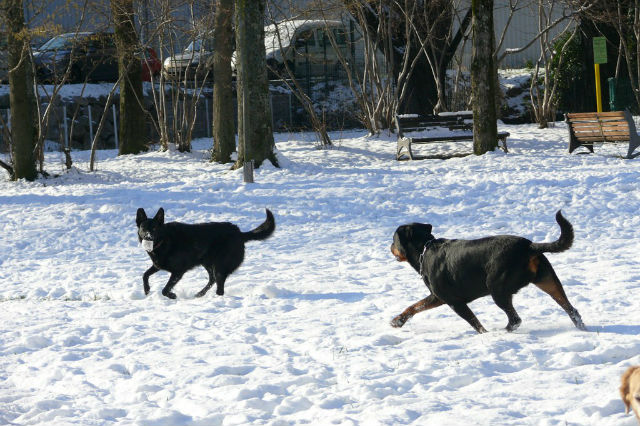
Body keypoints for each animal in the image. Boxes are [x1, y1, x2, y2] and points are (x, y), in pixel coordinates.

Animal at [135, 208, 276, 298]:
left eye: (154, 228)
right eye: (143, 228)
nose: (147, 237)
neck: (164, 240)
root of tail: (239, 233)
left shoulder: (178, 272)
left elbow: (165, 289)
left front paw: (172, 295)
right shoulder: (158, 265)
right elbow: (145, 275)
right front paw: (147, 290)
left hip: (219, 267)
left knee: (219, 286)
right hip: (207, 263)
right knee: (212, 279)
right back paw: (199, 294)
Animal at [388, 211, 588, 334]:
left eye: (393, 239)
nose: (389, 246)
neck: (425, 249)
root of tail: (528, 246)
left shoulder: (452, 301)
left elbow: (474, 322)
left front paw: (485, 334)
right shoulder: (436, 297)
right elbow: (414, 306)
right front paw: (397, 321)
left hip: (497, 288)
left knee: (515, 319)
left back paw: (503, 332)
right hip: (549, 280)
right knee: (571, 309)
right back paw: (582, 328)